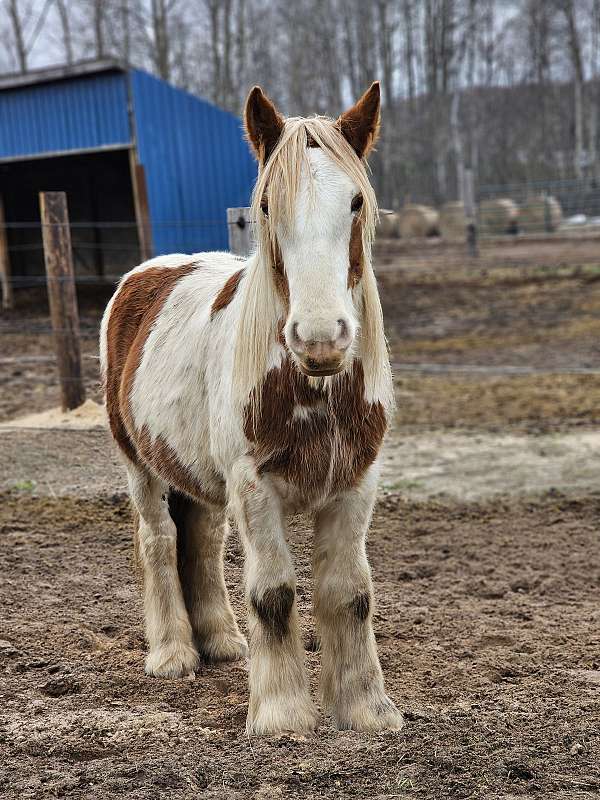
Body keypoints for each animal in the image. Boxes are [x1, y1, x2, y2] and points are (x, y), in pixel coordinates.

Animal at [101, 83, 404, 736]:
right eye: (266, 207)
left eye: (355, 204)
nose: (321, 339)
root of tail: (146, 274)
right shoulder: (254, 486)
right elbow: (274, 593)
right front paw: (283, 715)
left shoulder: (357, 484)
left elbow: (350, 592)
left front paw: (365, 709)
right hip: (140, 465)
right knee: (159, 540)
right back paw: (173, 653)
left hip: (197, 477)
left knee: (202, 541)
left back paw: (220, 642)